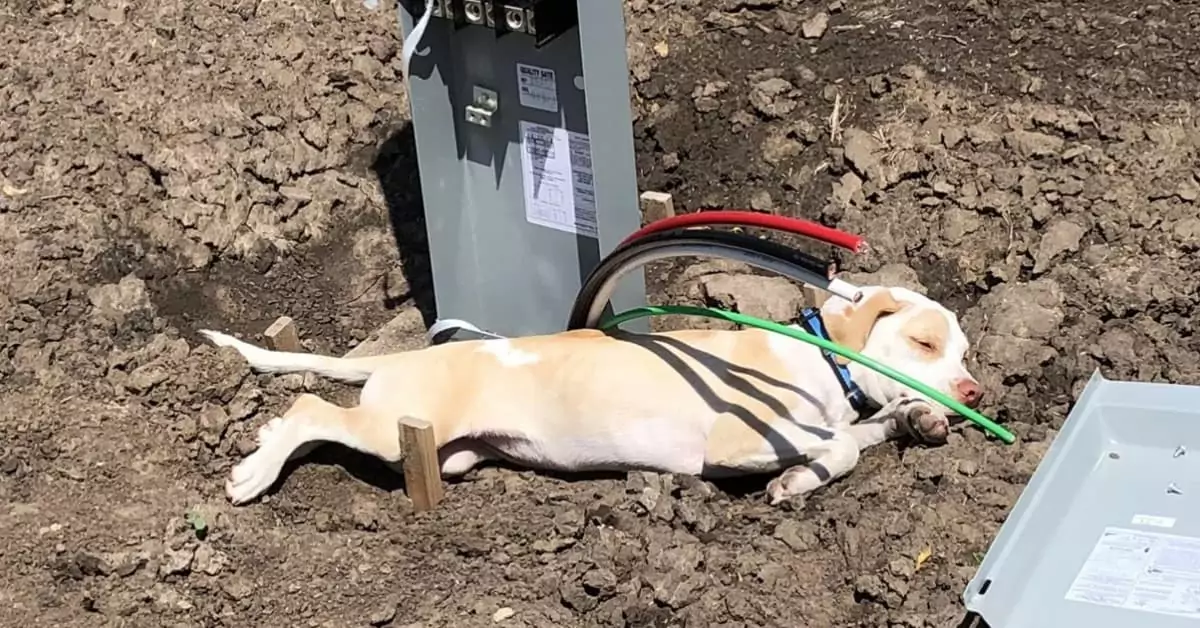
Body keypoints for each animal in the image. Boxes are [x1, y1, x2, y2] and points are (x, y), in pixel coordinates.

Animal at [199, 286, 984, 509]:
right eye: (923, 342)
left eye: (966, 352)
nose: (973, 388)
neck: (819, 358)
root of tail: (403, 357)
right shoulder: (734, 442)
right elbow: (843, 441)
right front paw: (800, 477)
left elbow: (863, 432)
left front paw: (917, 420)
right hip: (392, 426)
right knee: (307, 411)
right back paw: (253, 472)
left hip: (446, 454)